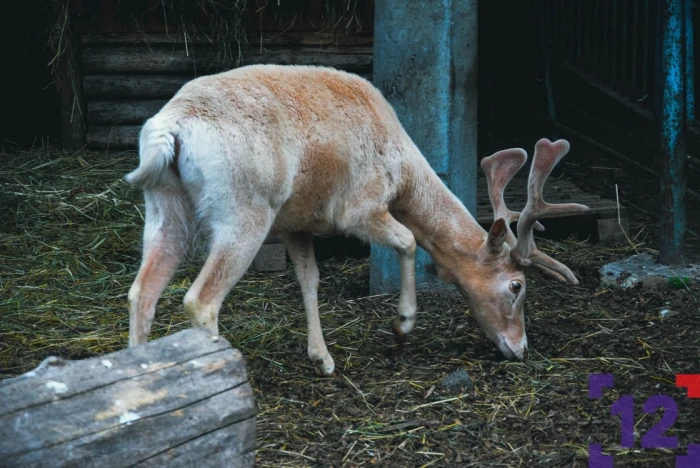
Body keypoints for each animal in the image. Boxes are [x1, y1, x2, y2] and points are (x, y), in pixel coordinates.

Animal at [123, 65, 588, 376]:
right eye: (516, 286)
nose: (520, 348)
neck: (404, 175)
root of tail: (170, 128)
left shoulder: (296, 222)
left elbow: (309, 279)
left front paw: (323, 359)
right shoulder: (357, 207)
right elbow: (408, 240)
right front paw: (402, 326)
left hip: (164, 207)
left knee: (142, 291)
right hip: (243, 210)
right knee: (200, 300)